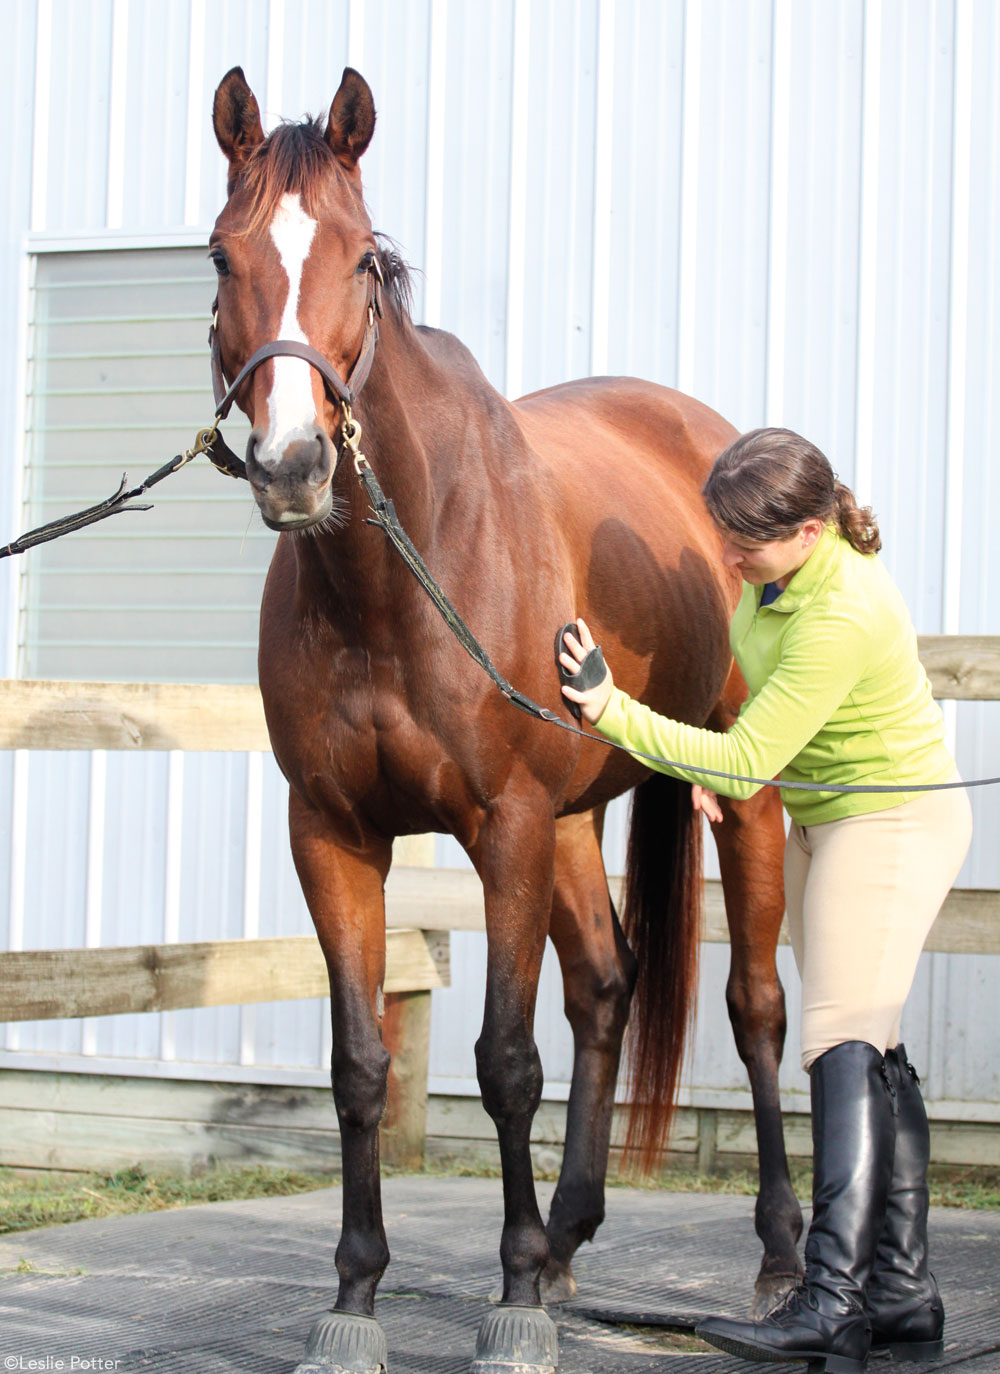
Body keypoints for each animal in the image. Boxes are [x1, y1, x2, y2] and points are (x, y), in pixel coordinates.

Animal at [212, 66, 802, 1374]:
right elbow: (361, 1065)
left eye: (362, 259)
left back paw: (781, 1260)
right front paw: (355, 1297)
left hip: (738, 799)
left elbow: (504, 1063)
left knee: (755, 1010)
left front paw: (515, 1301)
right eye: (222, 255)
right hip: (576, 822)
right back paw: (573, 1234)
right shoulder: (334, 833)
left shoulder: (506, 827)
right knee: (605, 990)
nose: (292, 465)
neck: (401, 572)